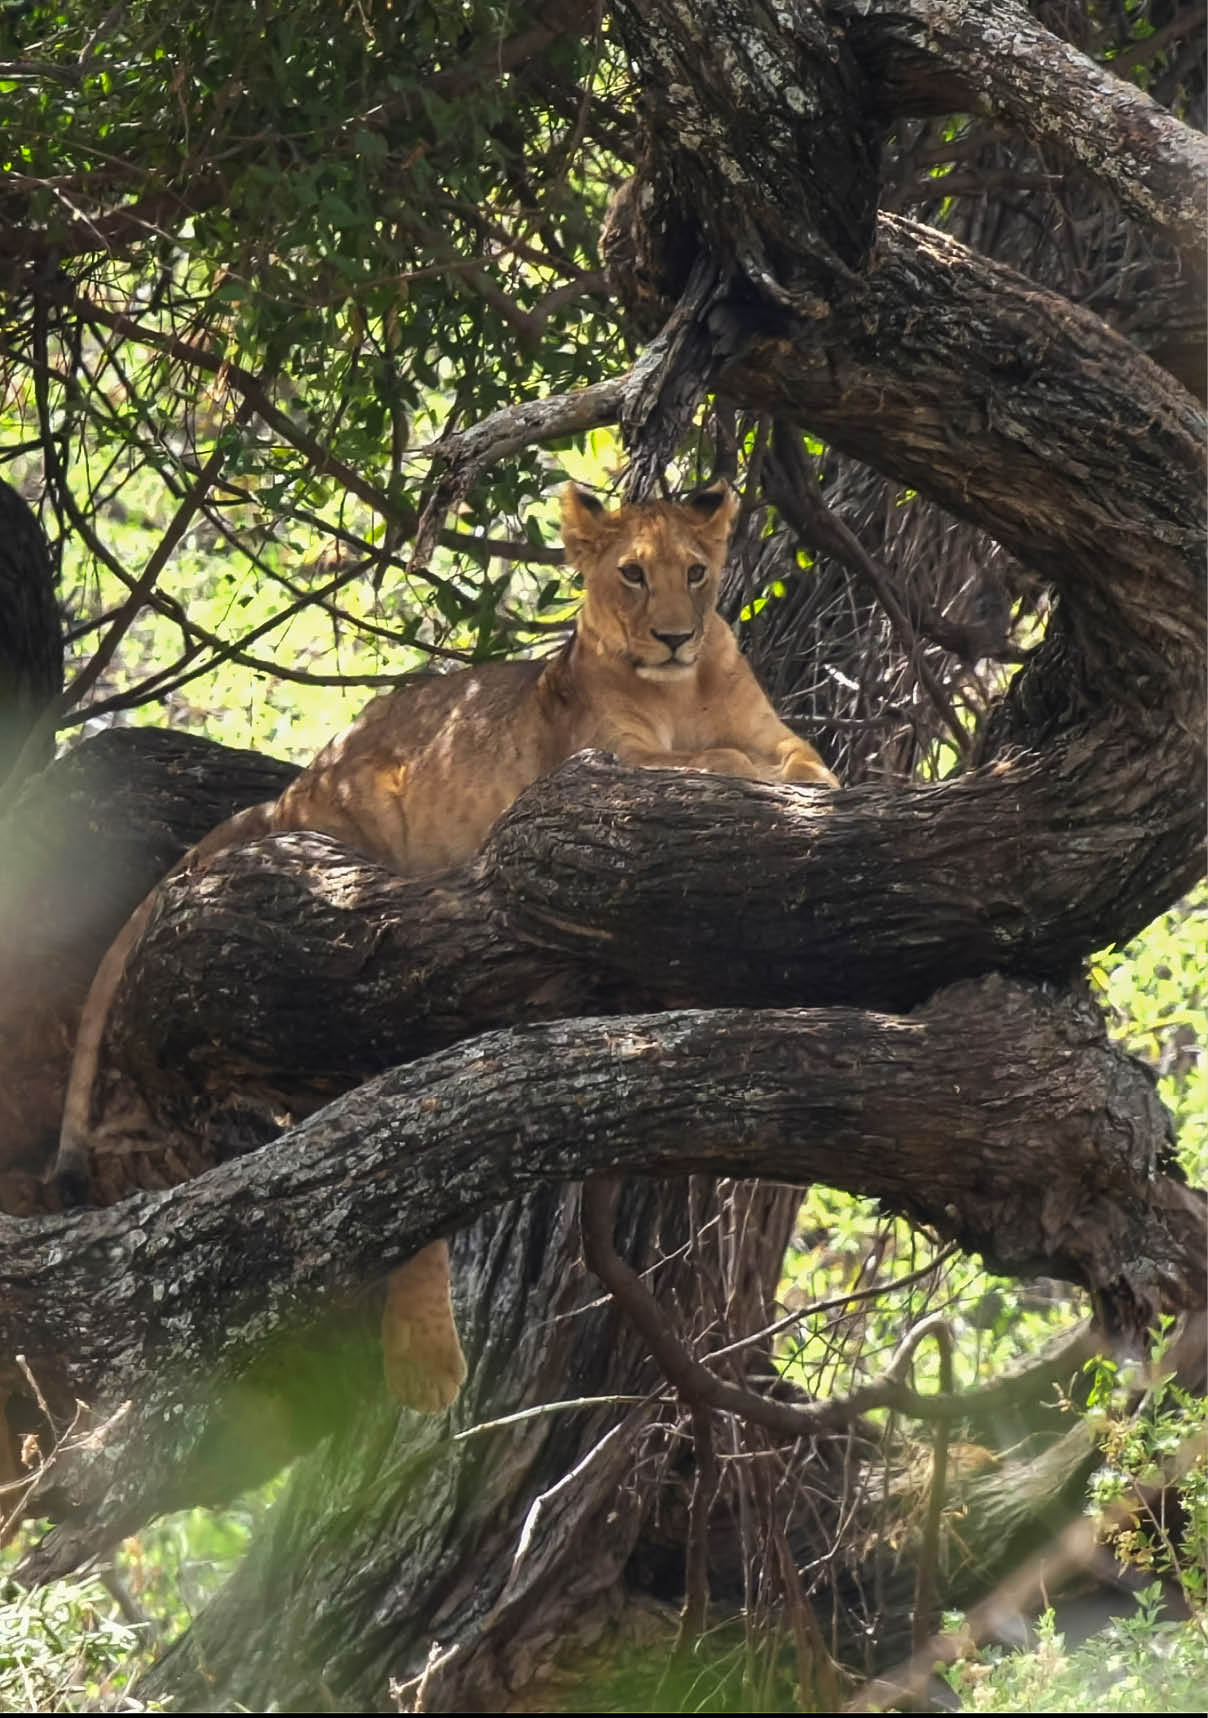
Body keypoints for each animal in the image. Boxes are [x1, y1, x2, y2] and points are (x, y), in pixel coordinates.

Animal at [55, 480, 838, 1414]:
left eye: (695, 572)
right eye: (632, 575)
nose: (677, 635)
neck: (681, 691)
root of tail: (292, 787)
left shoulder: (763, 724)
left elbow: (798, 757)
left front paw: (818, 783)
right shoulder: (606, 762)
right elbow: (718, 760)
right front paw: (759, 777)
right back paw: (426, 1363)